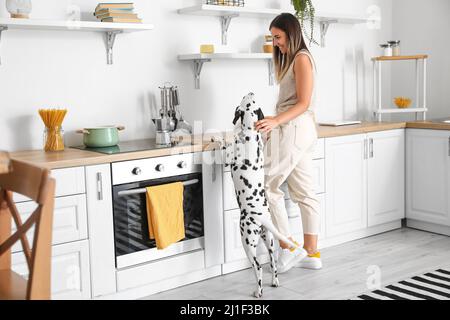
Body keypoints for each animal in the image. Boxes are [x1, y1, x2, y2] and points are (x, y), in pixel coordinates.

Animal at [215, 92, 298, 298]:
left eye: (248, 100)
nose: (251, 91)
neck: (250, 134)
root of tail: (262, 218)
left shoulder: (226, 158)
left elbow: (223, 149)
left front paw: (217, 140)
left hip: (247, 242)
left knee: (258, 267)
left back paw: (258, 291)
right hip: (269, 240)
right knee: (273, 262)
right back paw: (275, 281)